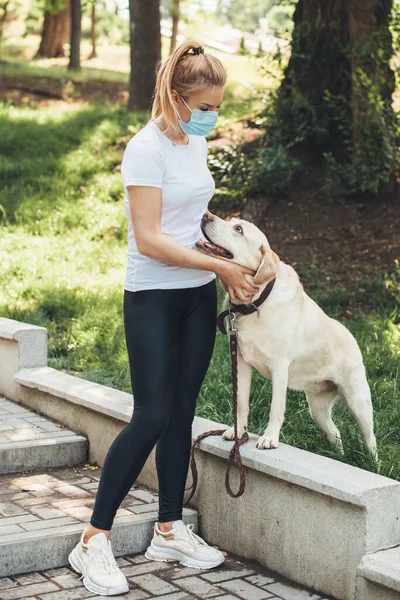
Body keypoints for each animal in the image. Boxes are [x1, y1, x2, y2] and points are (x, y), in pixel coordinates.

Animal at [197, 209, 378, 458]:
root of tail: (352, 336)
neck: (255, 303)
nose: (205, 214)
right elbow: (241, 403)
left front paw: (269, 439)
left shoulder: (279, 367)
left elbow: (276, 408)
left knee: (371, 439)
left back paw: (372, 462)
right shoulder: (241, 362)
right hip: (317, 408)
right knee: (335, 432)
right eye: (231, 221)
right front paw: (237, 431)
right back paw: (339, 455)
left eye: (239, 229)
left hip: (359, 402)